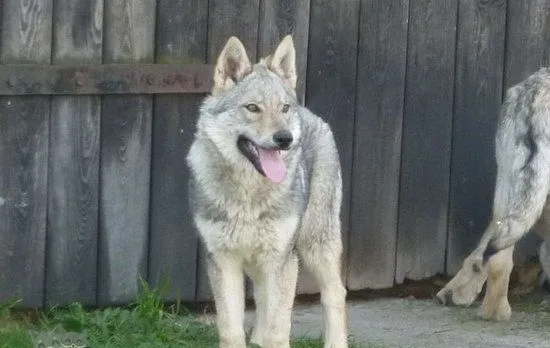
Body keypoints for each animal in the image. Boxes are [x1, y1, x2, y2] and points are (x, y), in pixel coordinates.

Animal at [188, 36, 348, 348]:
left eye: (283, 108)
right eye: (253, 108)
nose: (285, 138)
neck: (249, 195)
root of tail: (309, 113)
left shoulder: (282, 259)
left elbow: (279, 328)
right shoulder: (224, 261)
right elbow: (231, 329)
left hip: (315, 245)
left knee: (336, 293)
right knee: (262, 299)